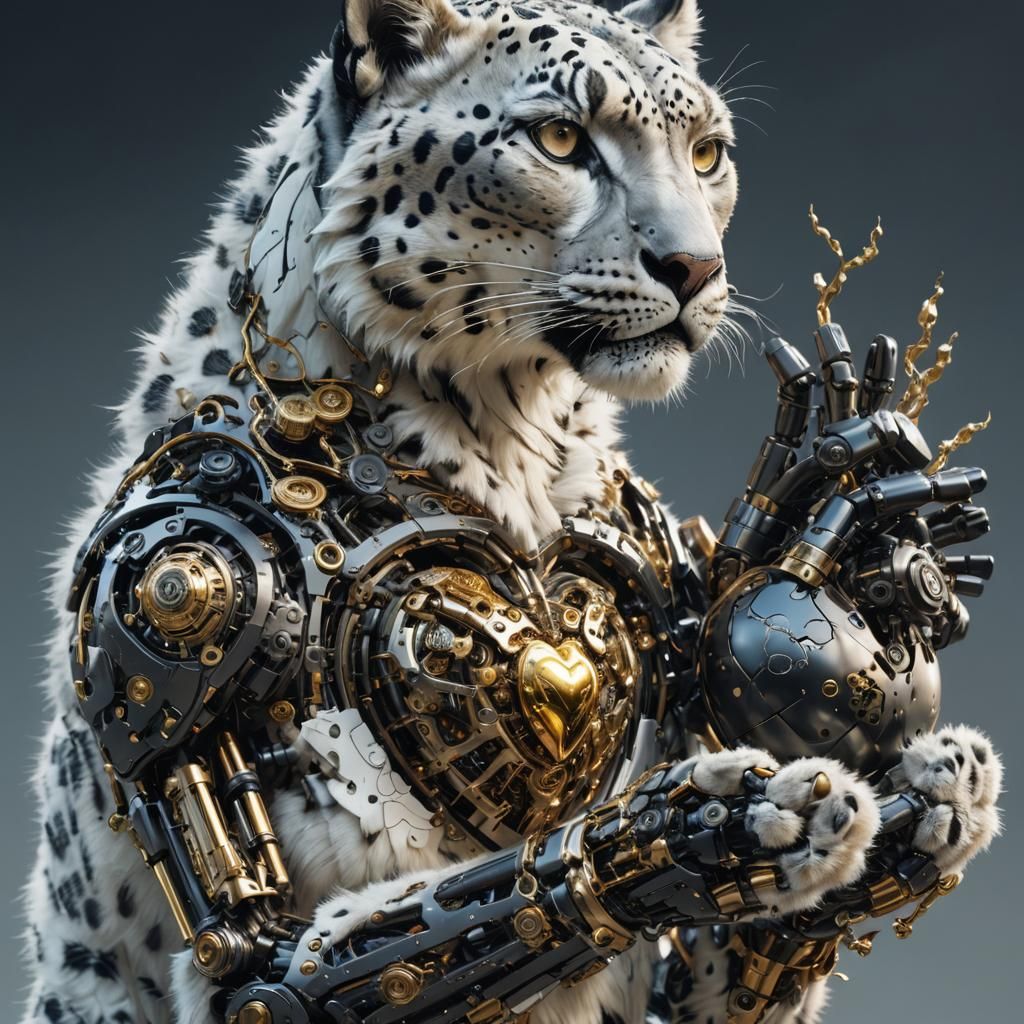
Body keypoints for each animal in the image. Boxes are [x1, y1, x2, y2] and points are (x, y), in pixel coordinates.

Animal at [19, 2, 1002, 1024]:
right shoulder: (177, 583)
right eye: (560, 137)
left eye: (706, 152)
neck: (513, 444)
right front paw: (716, 823)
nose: (694, 267)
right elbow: (265, 971)